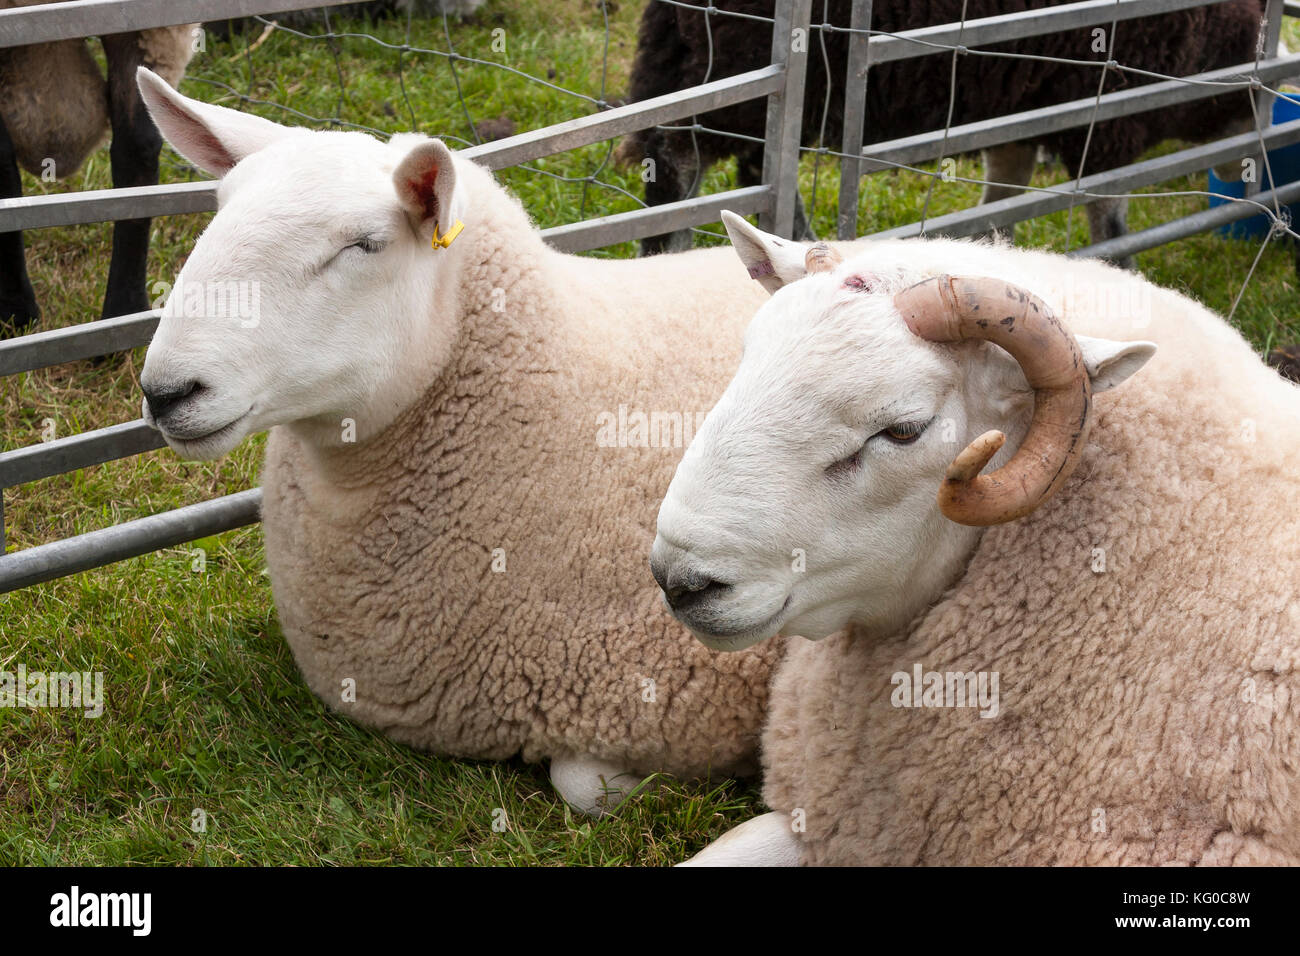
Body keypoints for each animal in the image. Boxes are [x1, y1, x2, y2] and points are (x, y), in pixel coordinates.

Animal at [616, 0, 1263, 259]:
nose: (1250, 177)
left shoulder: (1020, 100)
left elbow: (1005, 184)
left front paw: (995, 244)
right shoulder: (1103, 111)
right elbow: (1109, 210)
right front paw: (1121, 265)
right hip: (741, 64)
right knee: (683, 157)